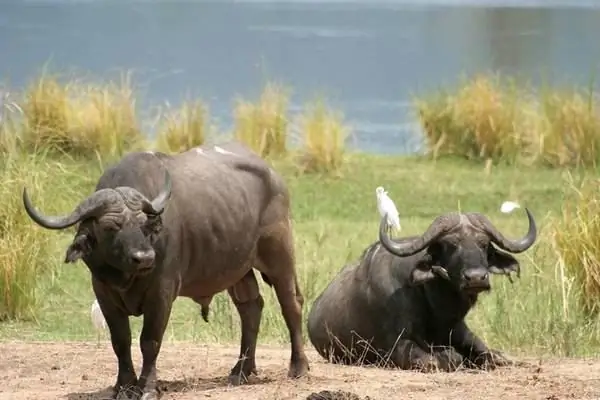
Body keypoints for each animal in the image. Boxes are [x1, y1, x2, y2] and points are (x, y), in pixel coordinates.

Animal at [22, 142, 310, 398]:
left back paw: (298, 367)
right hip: (238, 268)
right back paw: (241, 370)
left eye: (144, 225)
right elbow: (120, 340)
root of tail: (272, 175)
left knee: (291, 303)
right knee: (250, 307)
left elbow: (150, 341)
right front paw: (124, 386)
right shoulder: (103, 293)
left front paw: (148, 387)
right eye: (110, 227)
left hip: (279, 254)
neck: (127, 276)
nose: (145, 257)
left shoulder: (161, 293)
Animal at [308, 209, 536, 372]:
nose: (476, 278)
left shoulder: (460, 330)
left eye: (484, 244)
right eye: (450, 244)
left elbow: (491, 355)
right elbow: (441, 359)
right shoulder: (398, 346)